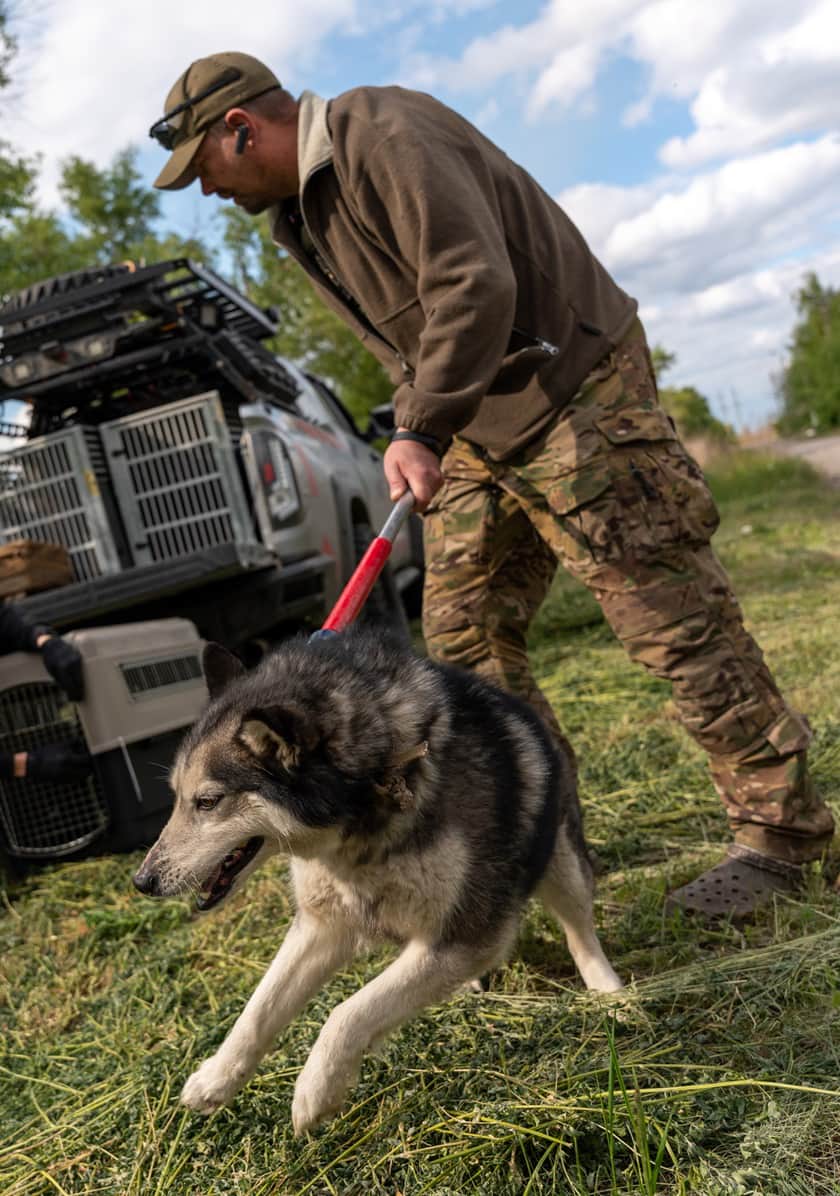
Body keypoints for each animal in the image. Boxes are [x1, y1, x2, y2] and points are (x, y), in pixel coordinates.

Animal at [133, 627, 621, 1134]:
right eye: (175, 798)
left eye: (208, 802)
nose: (142, 881)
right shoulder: (322, 925)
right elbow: (259, 1008)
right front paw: (215, 1079)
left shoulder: (470, 932)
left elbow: (349, 1011)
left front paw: (315, 1092)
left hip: (562, 866)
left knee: (579, 930)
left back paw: (610, 993)